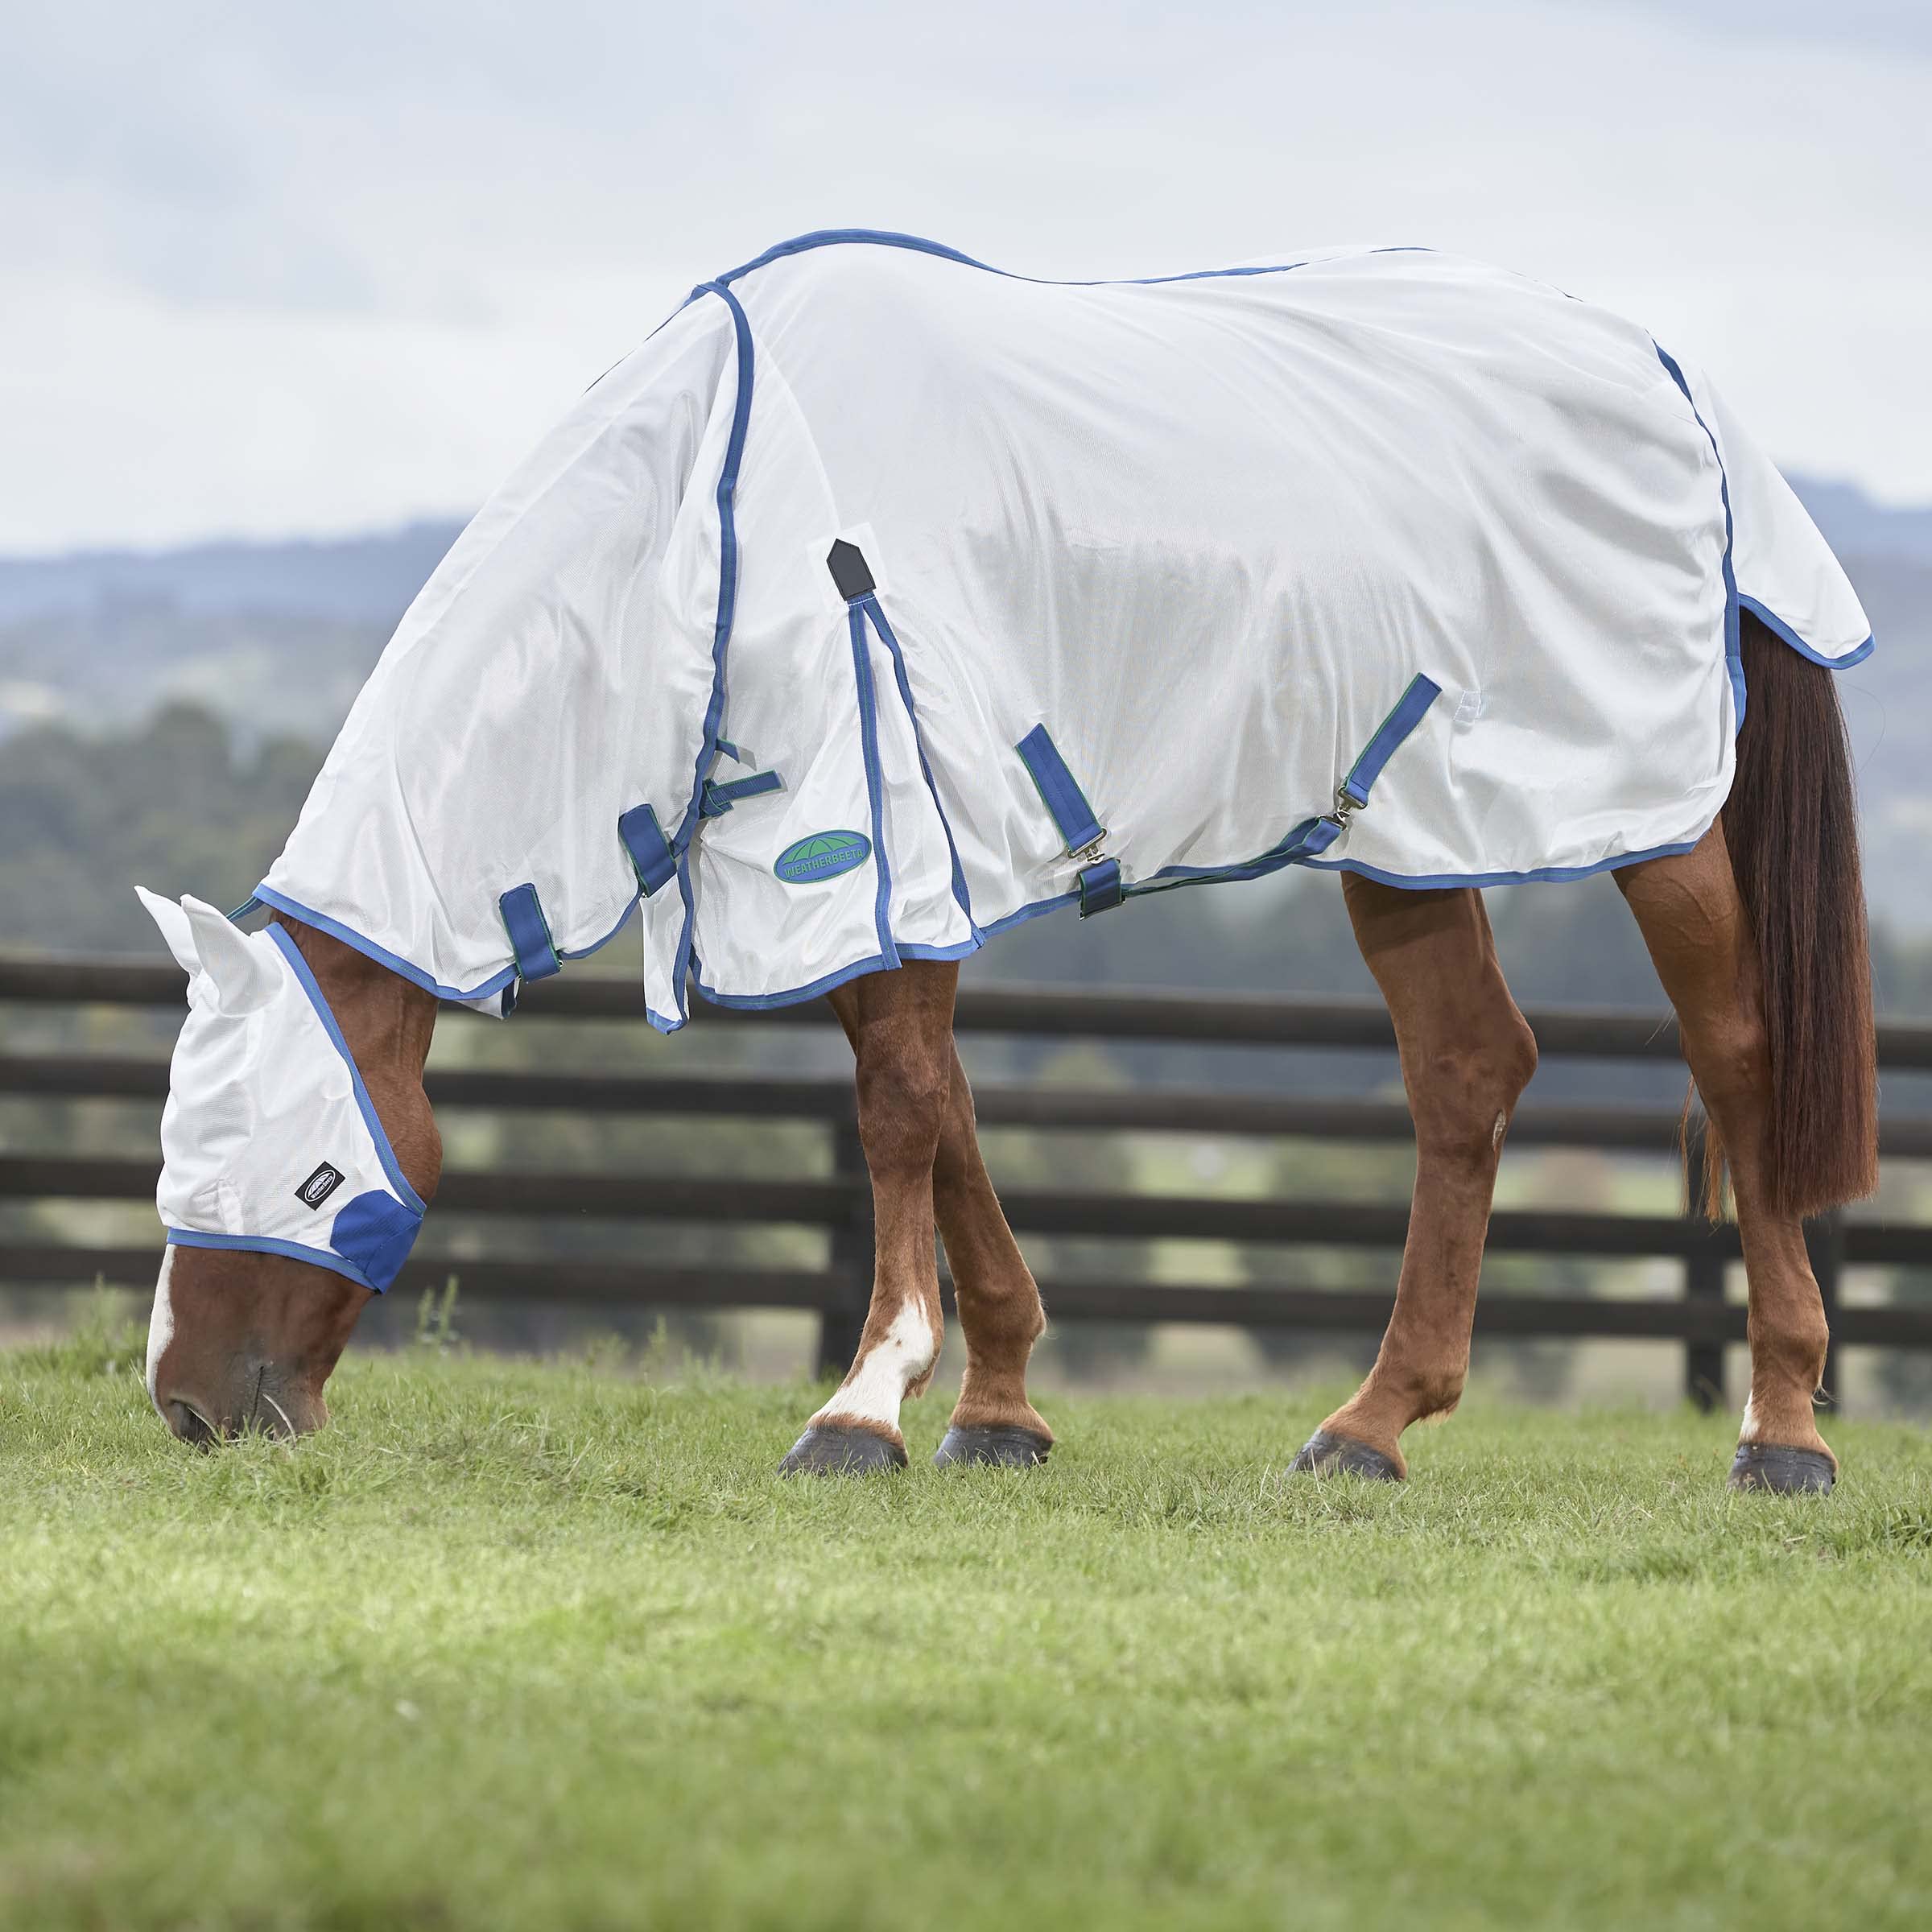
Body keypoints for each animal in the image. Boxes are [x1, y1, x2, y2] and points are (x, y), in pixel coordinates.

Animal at [138, 231, 1877, 1493]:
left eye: (303, 1171)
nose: (188, 1409)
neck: (714, 522)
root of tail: (1671, 381)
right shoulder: (881, 874)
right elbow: (942, 1101)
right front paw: (997, 1411)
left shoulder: (869, 832)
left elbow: (901, 1110)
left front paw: (862, 1409)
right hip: (1411, 827)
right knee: (1469, 1073)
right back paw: (1369, 1429)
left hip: (1651, 814)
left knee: (1737, 1055)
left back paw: (1783, 1436)